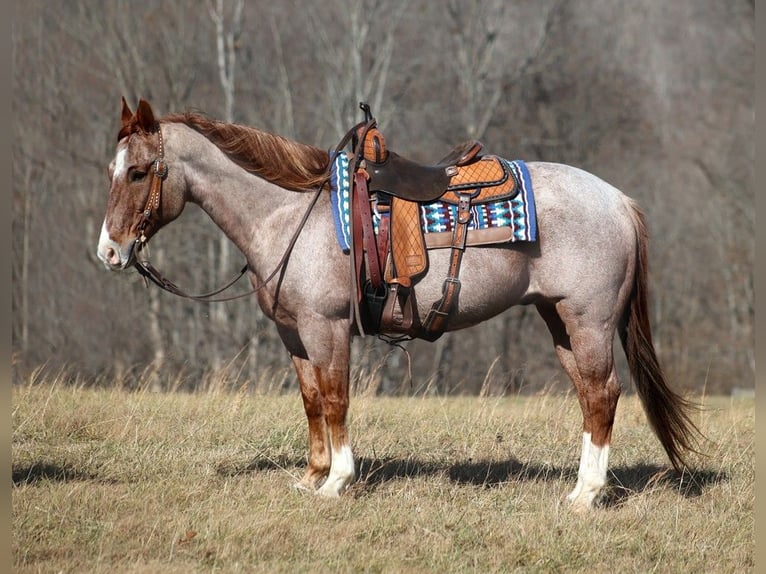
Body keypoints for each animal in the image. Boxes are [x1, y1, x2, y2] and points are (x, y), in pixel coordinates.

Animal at [96, 99, 704, 512]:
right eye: (112, 170)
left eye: (138, 172)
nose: (109, 251)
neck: (289, 213)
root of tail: (618, 201)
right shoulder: (295, 334)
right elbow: (311, 401)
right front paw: (312, 475)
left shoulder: (326, 328)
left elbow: (336, 400)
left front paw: (337, 481)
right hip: (559, 319)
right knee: (588, 395)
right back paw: (580, 487)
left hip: (589, 320)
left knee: (602, 393)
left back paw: (588, 494)